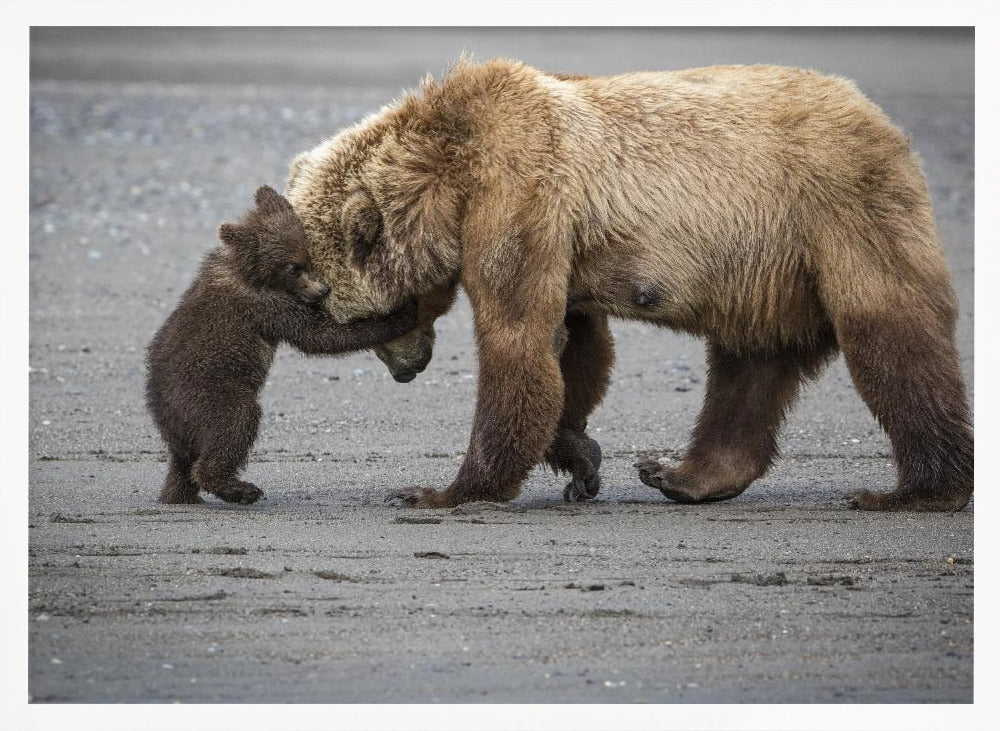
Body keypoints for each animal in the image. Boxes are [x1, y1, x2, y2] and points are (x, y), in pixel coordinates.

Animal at [145, 185, 417, 505]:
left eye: (308, 257)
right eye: (293, 267)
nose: (323, 289)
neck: (250, 272)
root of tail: (162, 413)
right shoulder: (265, 305)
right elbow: (318, 336)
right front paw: (401, 314)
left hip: (184, 423)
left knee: (182, 463)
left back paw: (180, 495)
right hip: (208, 393)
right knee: (235, 423)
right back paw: (239, 488)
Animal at [285, 58, 973, 512]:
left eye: (357, 318)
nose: (407, 370)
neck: (448, 174)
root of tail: (882, 119)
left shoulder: (519, 194)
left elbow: (518, 340)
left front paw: (443, 490)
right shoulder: (558, 236)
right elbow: (574, 346)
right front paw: (579, 457)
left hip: (839, 211)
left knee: (892, 336)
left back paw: (917, 490)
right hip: (766, 271)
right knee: (749, 365)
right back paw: (684, 475)